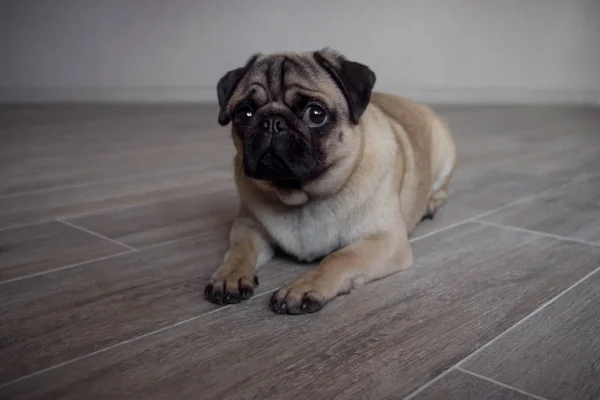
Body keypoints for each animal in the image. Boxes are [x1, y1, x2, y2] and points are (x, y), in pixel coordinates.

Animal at [204, 48, 458, 314]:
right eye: (244, 114)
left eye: (316, 114)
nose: (272, 122)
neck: (302, 198)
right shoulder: (248, 227)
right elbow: (239, 250)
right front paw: (229, 275)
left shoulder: (385, 240)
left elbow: (339, 258)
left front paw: (303, 287)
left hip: (445, 154)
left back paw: (430, 205)